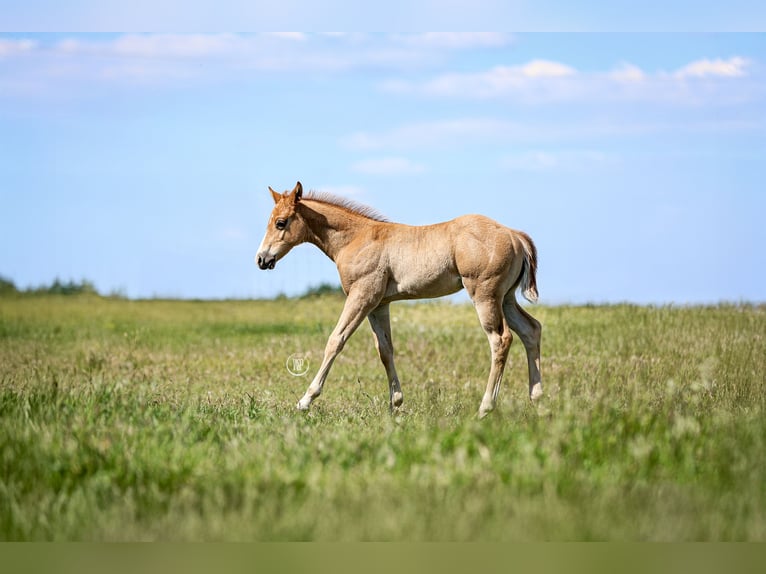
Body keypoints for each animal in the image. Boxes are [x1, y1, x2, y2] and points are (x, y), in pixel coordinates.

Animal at [256, 181, 542, 418]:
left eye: (281, 222)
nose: (261, 259)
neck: (356, 238)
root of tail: (514, 235)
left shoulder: (362, 297)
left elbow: (335, 340)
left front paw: (305, 400)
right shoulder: (379, 305)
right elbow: (385, 349)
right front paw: (395, 402)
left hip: (485, 295)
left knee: (500, 339)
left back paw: (486, 407)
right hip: (505, 298)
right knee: (531, 329)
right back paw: (537, 398)